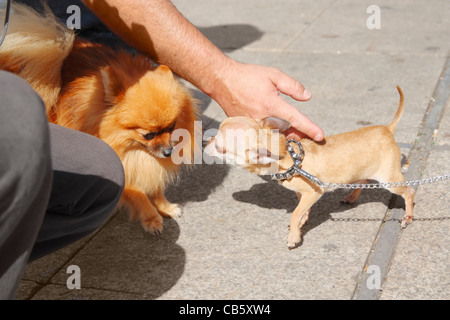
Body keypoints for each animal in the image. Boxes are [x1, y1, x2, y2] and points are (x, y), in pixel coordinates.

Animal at [207, 86, 414, 249]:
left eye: (219, 147)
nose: (204, 141)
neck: (289, 157)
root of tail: (387, 129)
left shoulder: (314, 192)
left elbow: (294, 214)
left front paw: (293, 237)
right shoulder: (303, 193)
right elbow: (300, 209)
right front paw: (301, 223)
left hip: (389, 180)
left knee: (408, 191)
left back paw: (408, 217)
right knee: (363, 181)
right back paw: (351, 197)